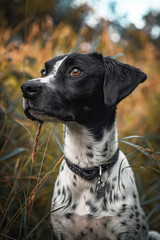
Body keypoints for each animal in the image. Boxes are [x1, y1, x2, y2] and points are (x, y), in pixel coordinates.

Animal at [21, 53, 160, 240]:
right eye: (44, 71)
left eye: (76, 71)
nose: (26, 87)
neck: (88, 168)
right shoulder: (62, 229)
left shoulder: (126, 231)